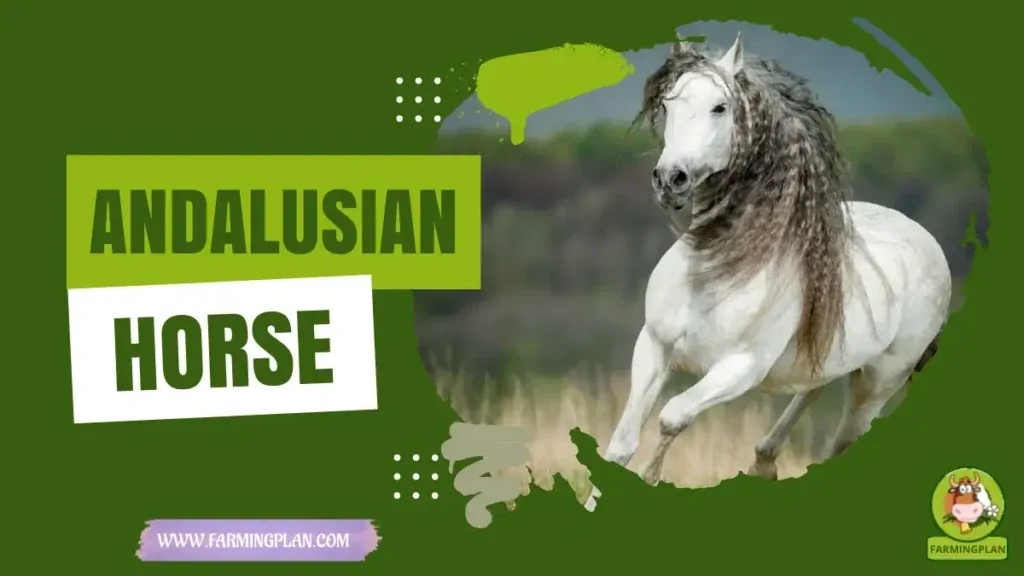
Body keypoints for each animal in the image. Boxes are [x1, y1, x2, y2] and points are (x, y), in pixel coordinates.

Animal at [583, 33, 951, 511]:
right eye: (668, 103)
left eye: (720, 107)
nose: (670, 179)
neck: (719, 271)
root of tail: (929, 243)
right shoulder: (653, 348)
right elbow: (622, 444)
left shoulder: (739, 369)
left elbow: (672, 417)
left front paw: (650, 476)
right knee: (812, 389)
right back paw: (764, 459)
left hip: (877, 385)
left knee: (840, 441)